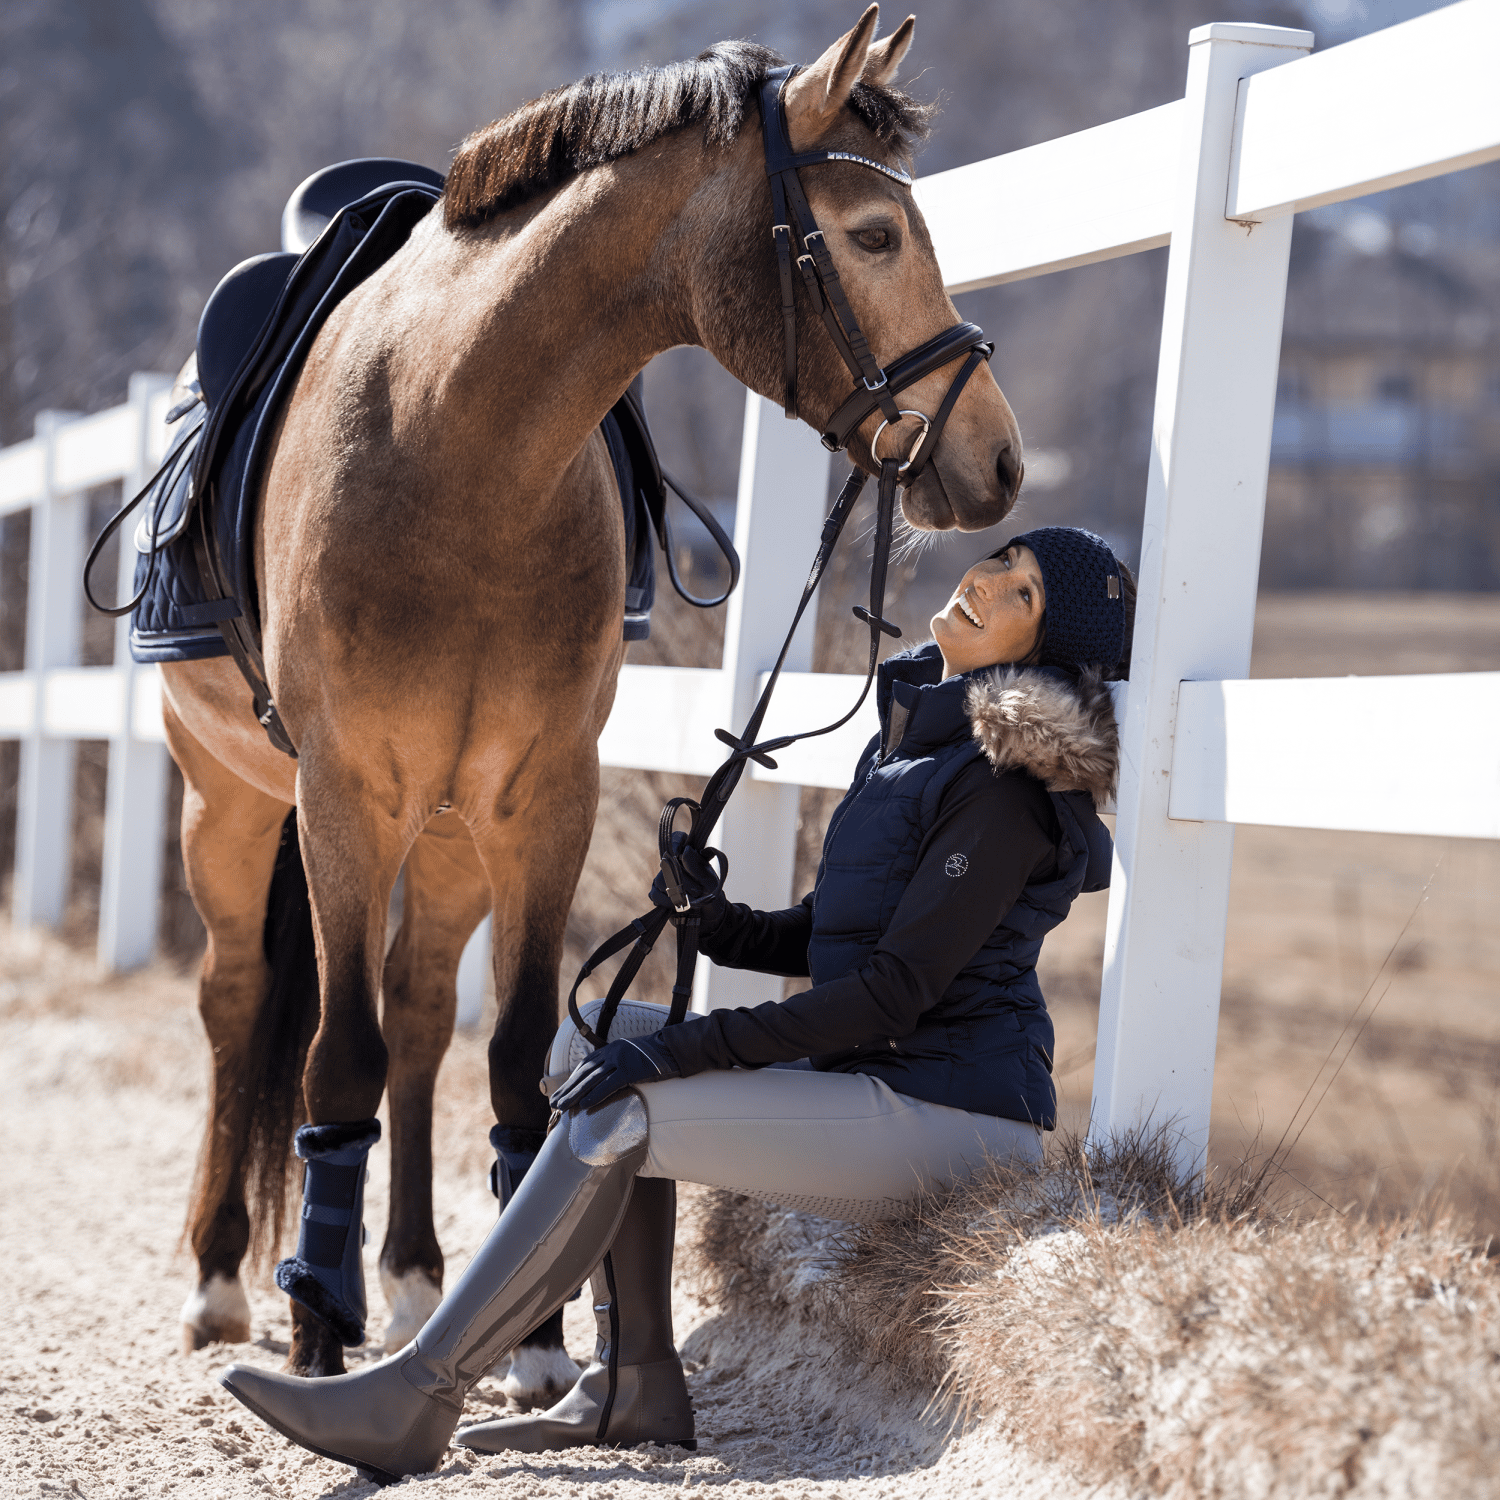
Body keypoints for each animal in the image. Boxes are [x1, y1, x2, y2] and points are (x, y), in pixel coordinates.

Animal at [167, 2, 1032, 1392]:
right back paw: (219, 1277)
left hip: (449, 830)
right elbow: (333, 1053)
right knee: (240, 1001)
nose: (996, 459)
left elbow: (516, 1050)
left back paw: (416, 1279)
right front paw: (316, 1322)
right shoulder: (343, 797)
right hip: (231, 804)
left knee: (421, 1011)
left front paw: (527, 1337)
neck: (452, 444)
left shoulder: (542, 802)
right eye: (874, 233)